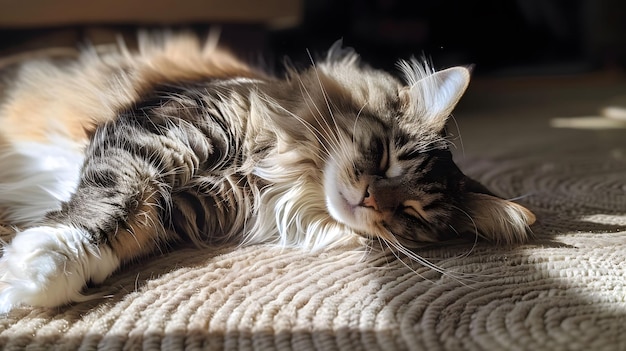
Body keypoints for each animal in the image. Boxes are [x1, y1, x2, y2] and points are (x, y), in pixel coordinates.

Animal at [0, 31, 532, 314]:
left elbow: (129, 225)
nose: (369, 199)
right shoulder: (154, 134)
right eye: (385, 156)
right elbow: (115, 199)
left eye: (413, 213)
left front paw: (37, 273)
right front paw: (36, 263)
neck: (272, 179)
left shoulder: (180, 210)